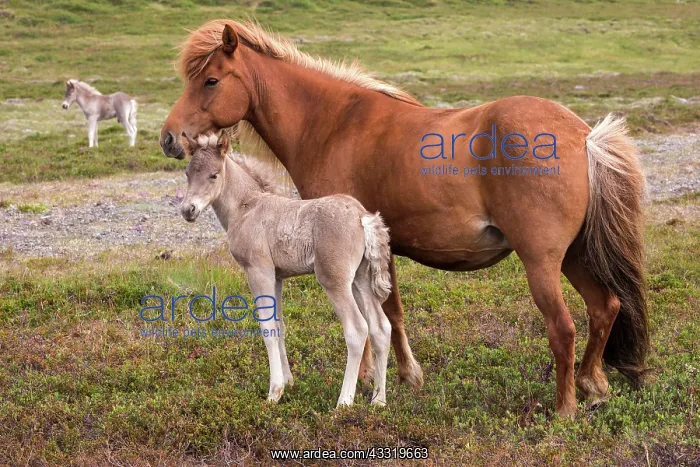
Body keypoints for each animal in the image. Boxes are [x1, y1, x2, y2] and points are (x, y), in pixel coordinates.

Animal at [180, 131, 394, 407]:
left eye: (214, 175)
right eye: (188, 173)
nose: (188, 210)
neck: (246, 207)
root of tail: (362, 216)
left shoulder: (258, 271)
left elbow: (267, 328)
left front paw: (275, 391)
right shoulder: (277, 276)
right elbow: (280, 326)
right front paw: (289, 381)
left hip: (334, 279)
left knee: (357, 329)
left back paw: (344, 402)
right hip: (361, 278)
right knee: (381, 328)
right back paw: (379, 400)